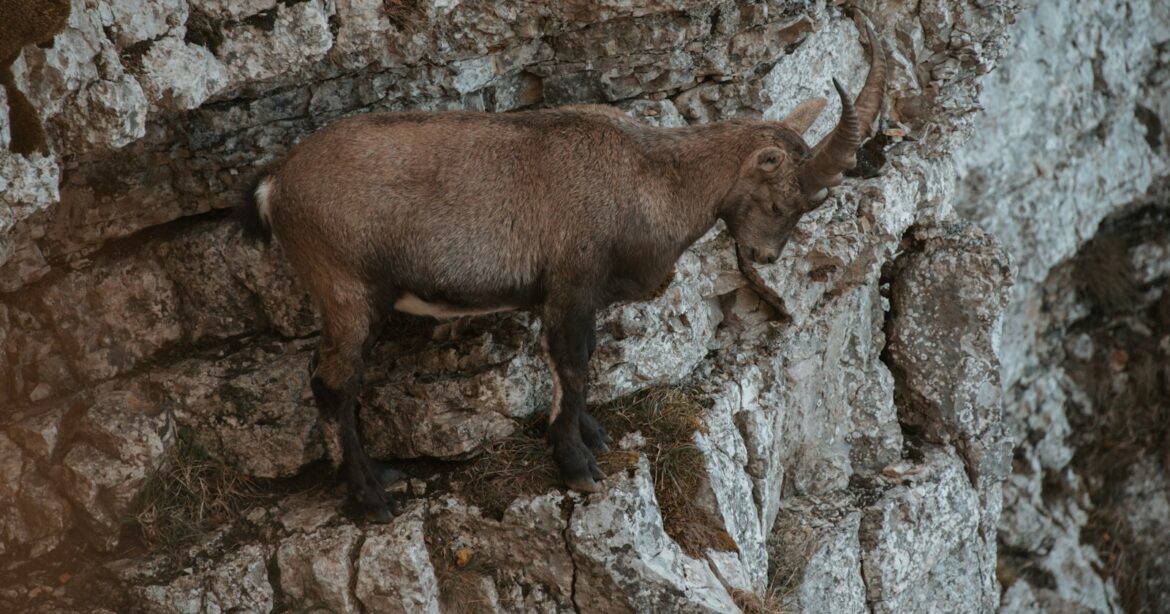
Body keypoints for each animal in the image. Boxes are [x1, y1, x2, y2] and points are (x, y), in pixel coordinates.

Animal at [238, 26, 887, 521]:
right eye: (782, 203)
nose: (767, 258)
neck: (649, 178)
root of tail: (277, 183)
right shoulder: (571, 286)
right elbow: (573, 366)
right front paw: (576, 465)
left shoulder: (575, 295)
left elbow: (574, 368)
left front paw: (588, 435)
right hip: (346, 287)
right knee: (333, 385)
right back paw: (371, 496)